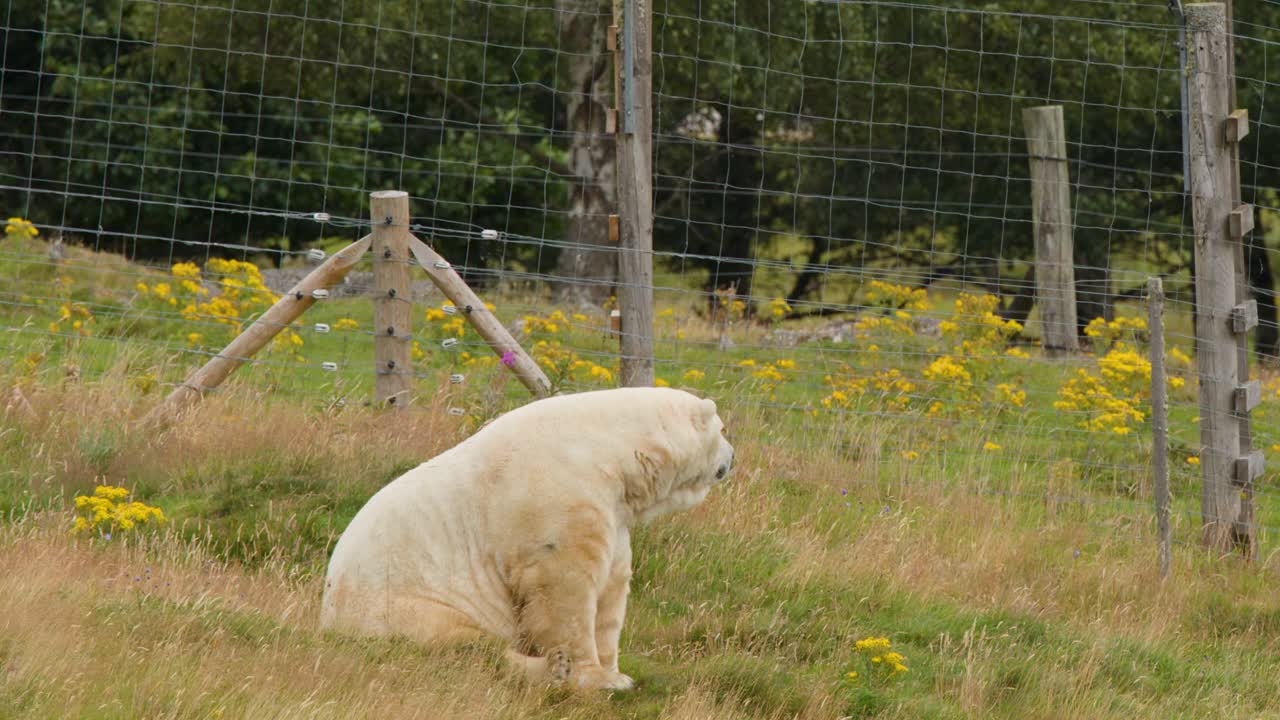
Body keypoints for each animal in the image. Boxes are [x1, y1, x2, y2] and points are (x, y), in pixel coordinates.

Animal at [320, 387, 734, 691]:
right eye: (723, 430)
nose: (733, 456)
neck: (608, 449)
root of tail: (328, 620)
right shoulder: (560, 497)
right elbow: (564, 590)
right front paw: (593, 676)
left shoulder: (612, 514)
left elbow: (612, 590)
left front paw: (618, 674)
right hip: (400, 607)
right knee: (465, 646)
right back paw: (550, 668)